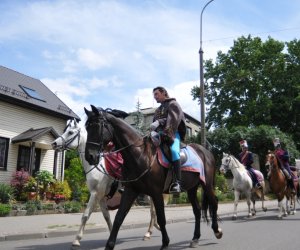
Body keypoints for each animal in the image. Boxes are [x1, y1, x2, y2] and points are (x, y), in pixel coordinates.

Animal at [84, 105, 223, 250]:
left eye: (97, 126)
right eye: (87, 128)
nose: (89, 156)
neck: (141, 154)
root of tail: (206, 152)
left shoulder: (156, 193)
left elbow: (161, 218)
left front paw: (165, 243)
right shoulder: (131, 191)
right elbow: (119, 218)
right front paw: (109, 245)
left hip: (207, 185)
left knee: (214, 203)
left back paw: (217, 231)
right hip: (192, 188)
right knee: (197, 210)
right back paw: (195, 238)